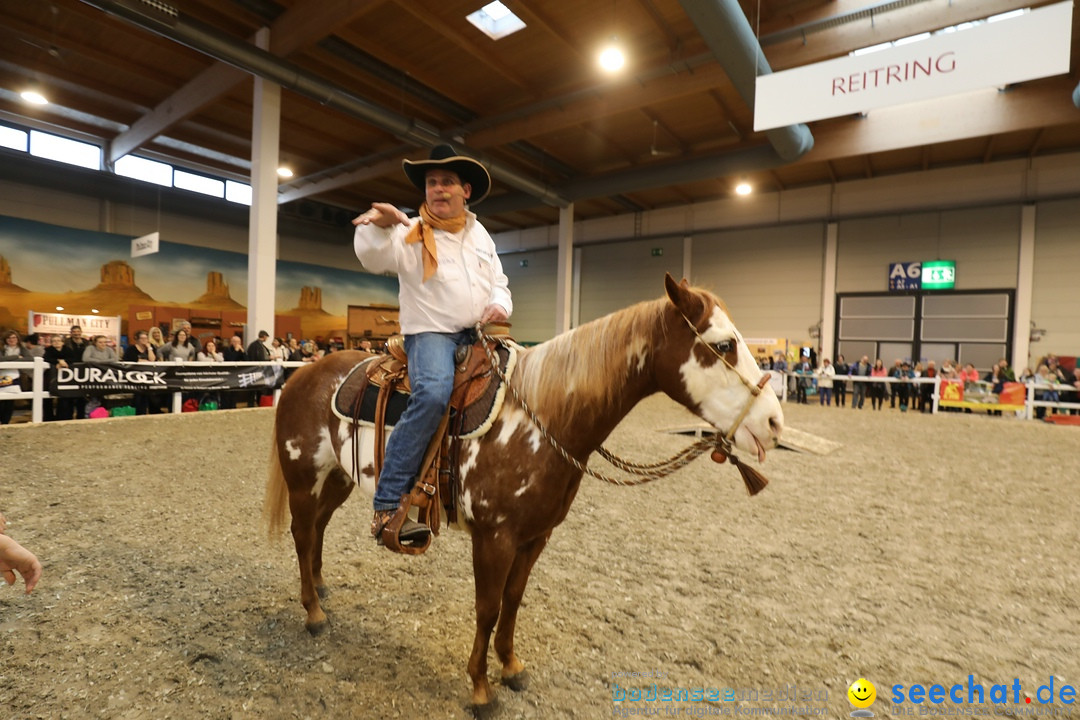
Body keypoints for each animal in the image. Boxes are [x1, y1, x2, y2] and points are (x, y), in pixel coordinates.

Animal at [264, 274, 781, 708]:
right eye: (724, 344)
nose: (774, 423)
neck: (544, 417)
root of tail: (304, 373)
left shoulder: (536, 536)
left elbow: (512, 600)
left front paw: (511, 667)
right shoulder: (494, 538)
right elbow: (487, 606)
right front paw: (479, 688)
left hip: (336, 478)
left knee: (318, 529)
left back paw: (321, 587)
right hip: (303, 478)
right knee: (303, 534)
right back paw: (313, 612)